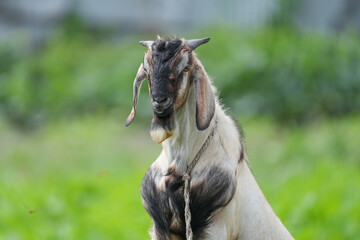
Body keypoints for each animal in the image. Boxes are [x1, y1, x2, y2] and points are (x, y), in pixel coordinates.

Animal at [125, 36, 294, 239]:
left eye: (185, 68)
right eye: (146, 69)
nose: (159, 100)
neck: (179, 162)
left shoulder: (215, 226)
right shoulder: (160, 227)